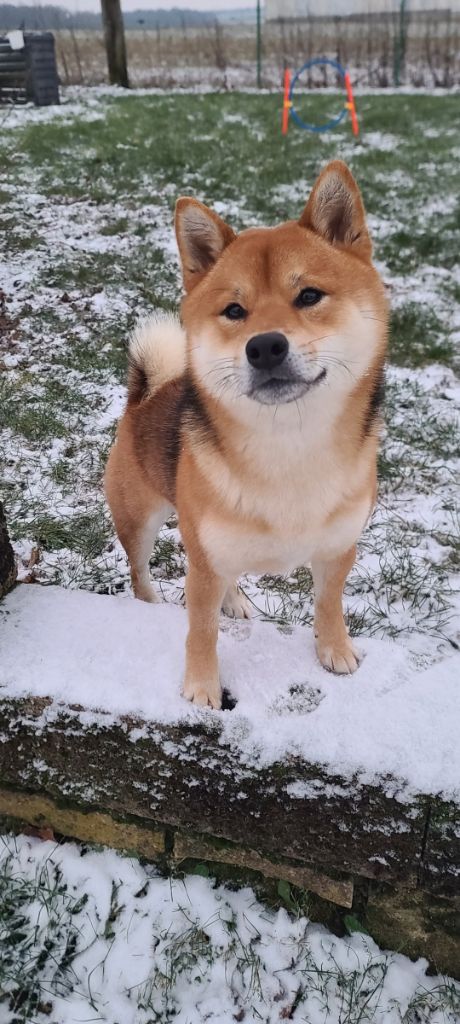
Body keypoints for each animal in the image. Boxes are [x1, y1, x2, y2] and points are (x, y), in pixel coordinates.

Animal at [105, 159, 387, 708]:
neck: (290, 448)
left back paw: (234, 600)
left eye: (309, 296)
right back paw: (150, 601)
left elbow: (329, 604)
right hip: (140, 520)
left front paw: (335, 650)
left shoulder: (339, 547)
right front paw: (201, 687)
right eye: (234, 311)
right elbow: (200, 630)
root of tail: (145, 397)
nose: (265, 347)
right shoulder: (204, 562)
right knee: (139, 571)